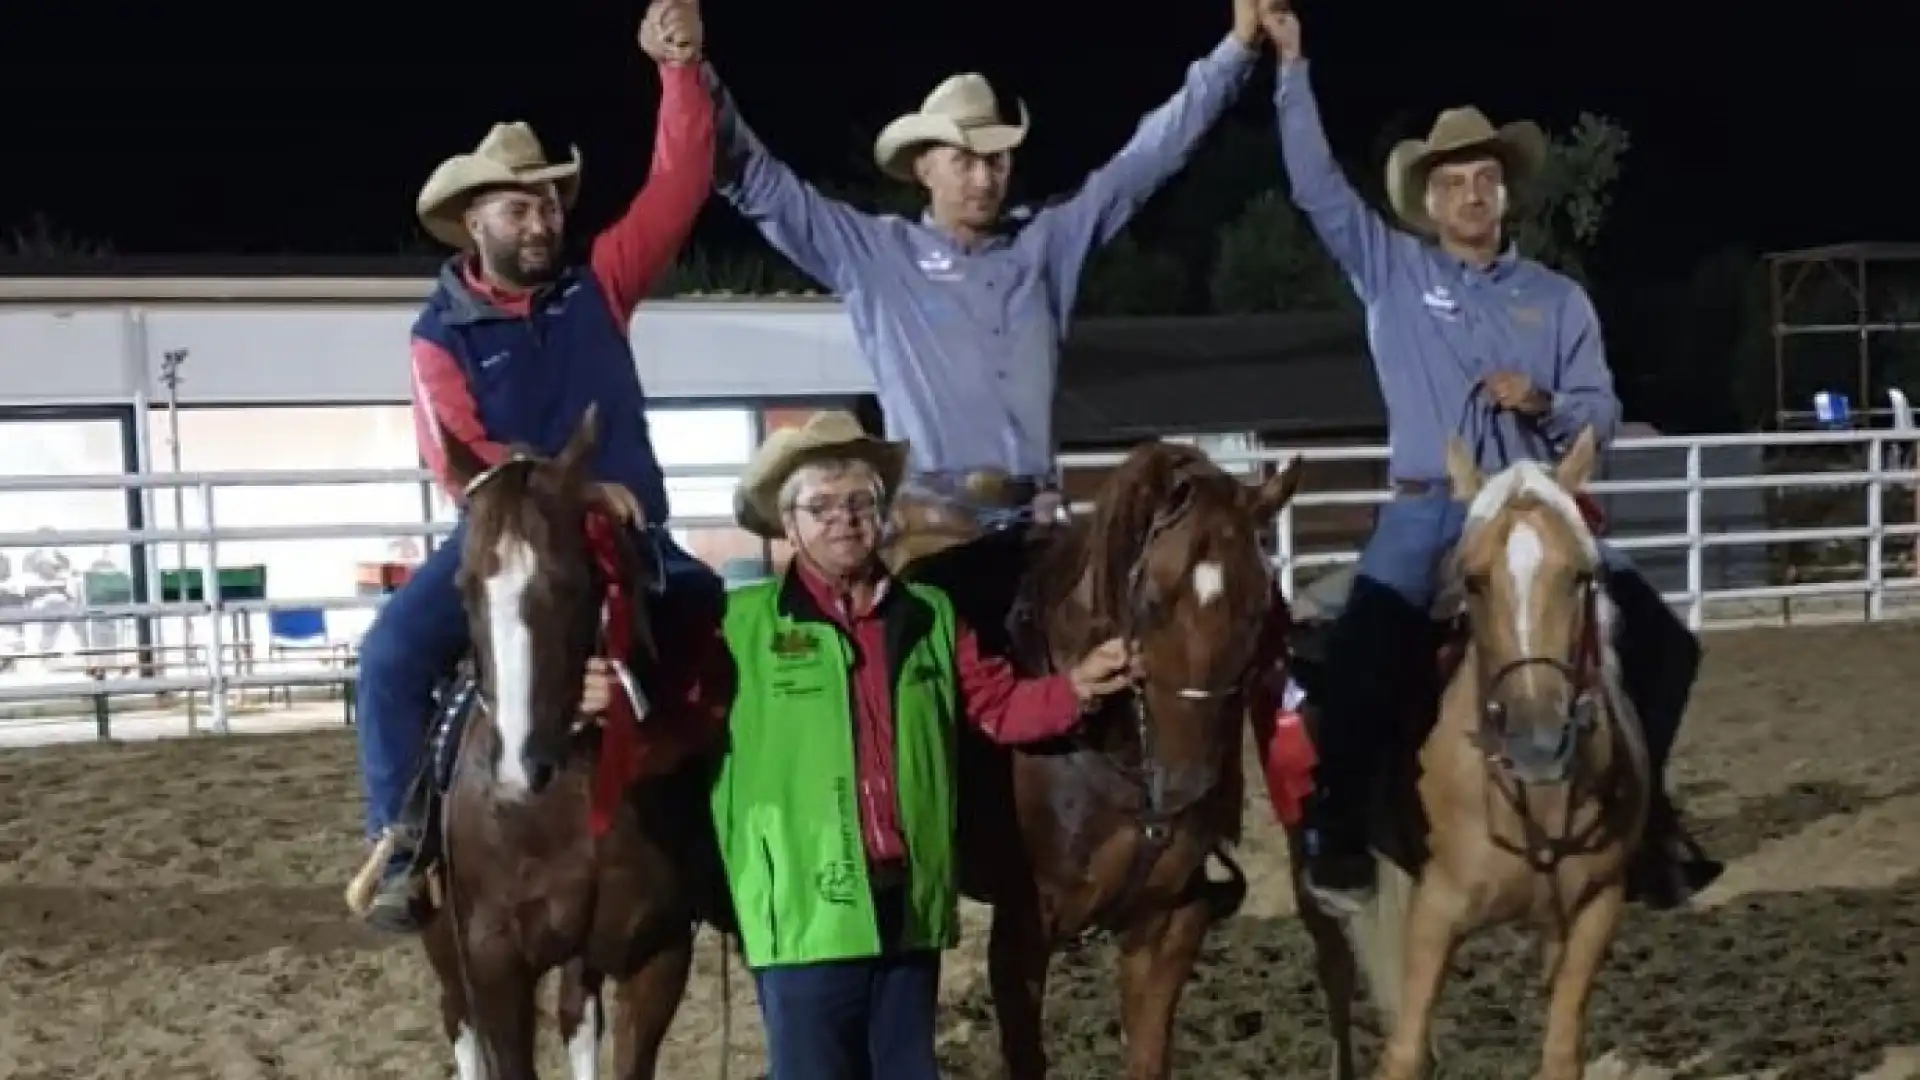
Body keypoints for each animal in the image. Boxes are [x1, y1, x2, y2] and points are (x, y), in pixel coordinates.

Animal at [416, 405, 718, 1076]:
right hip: (443, 942)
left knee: (577, 1017)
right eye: (464, 587)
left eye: (572, 582)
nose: (518, 771)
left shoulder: (657, 951)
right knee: (457, 1022)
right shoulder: (494, 961)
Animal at [1282, 428, 1643, 1076]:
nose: (1536, 737)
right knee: (1337, 975)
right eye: (1473, 580)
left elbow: (1561, 1049)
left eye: (1581, 575)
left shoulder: (1596, 910)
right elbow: (1405, 1050)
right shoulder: (1437, 911)